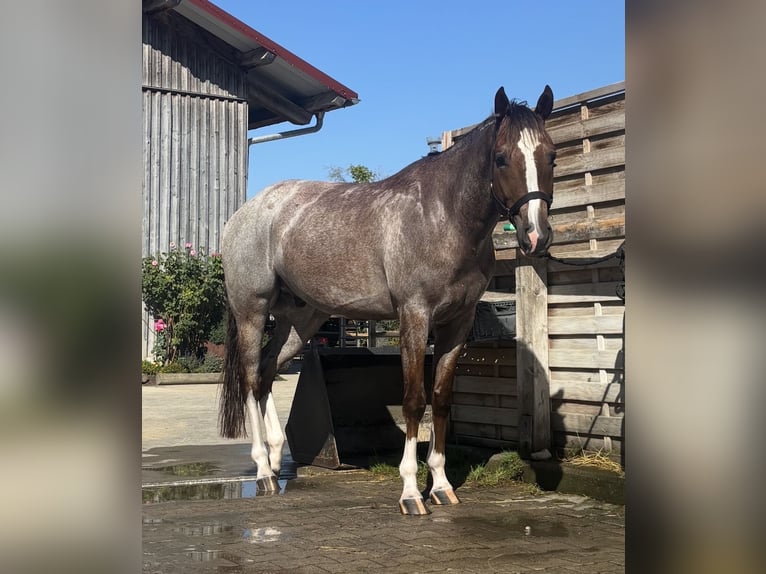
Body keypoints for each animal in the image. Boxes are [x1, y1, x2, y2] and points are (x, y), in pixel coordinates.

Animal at [219, 85, 556, 515]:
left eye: (551, 155)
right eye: (501, 158)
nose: (536, 236)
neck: (441, 217)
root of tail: (246, 212)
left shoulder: (457, 323)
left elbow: (440, 400)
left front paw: (441, 485)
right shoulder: (414, 315)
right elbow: (414, 400)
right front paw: (411, 492)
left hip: (300, 322)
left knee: (265, 374)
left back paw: (277, 462)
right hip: (252, 310)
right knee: (249, 378)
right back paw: (262, 468)